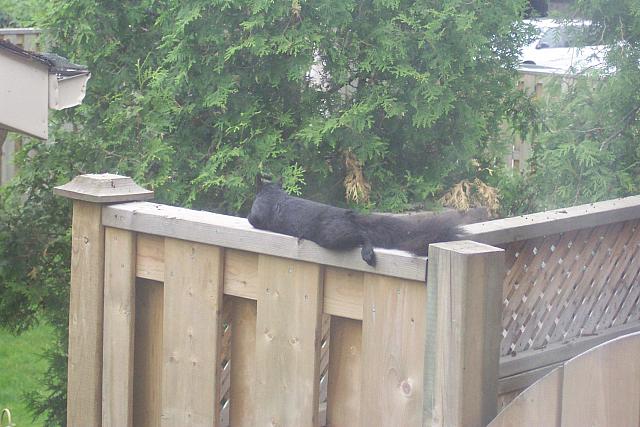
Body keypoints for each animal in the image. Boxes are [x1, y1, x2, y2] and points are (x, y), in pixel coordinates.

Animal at [247, 177, 487, 266]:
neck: (273, 194)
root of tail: (348, 215)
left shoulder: (257, 214)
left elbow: (252, 219)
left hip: (332, 235)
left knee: (362, 236)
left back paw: (368, 253)